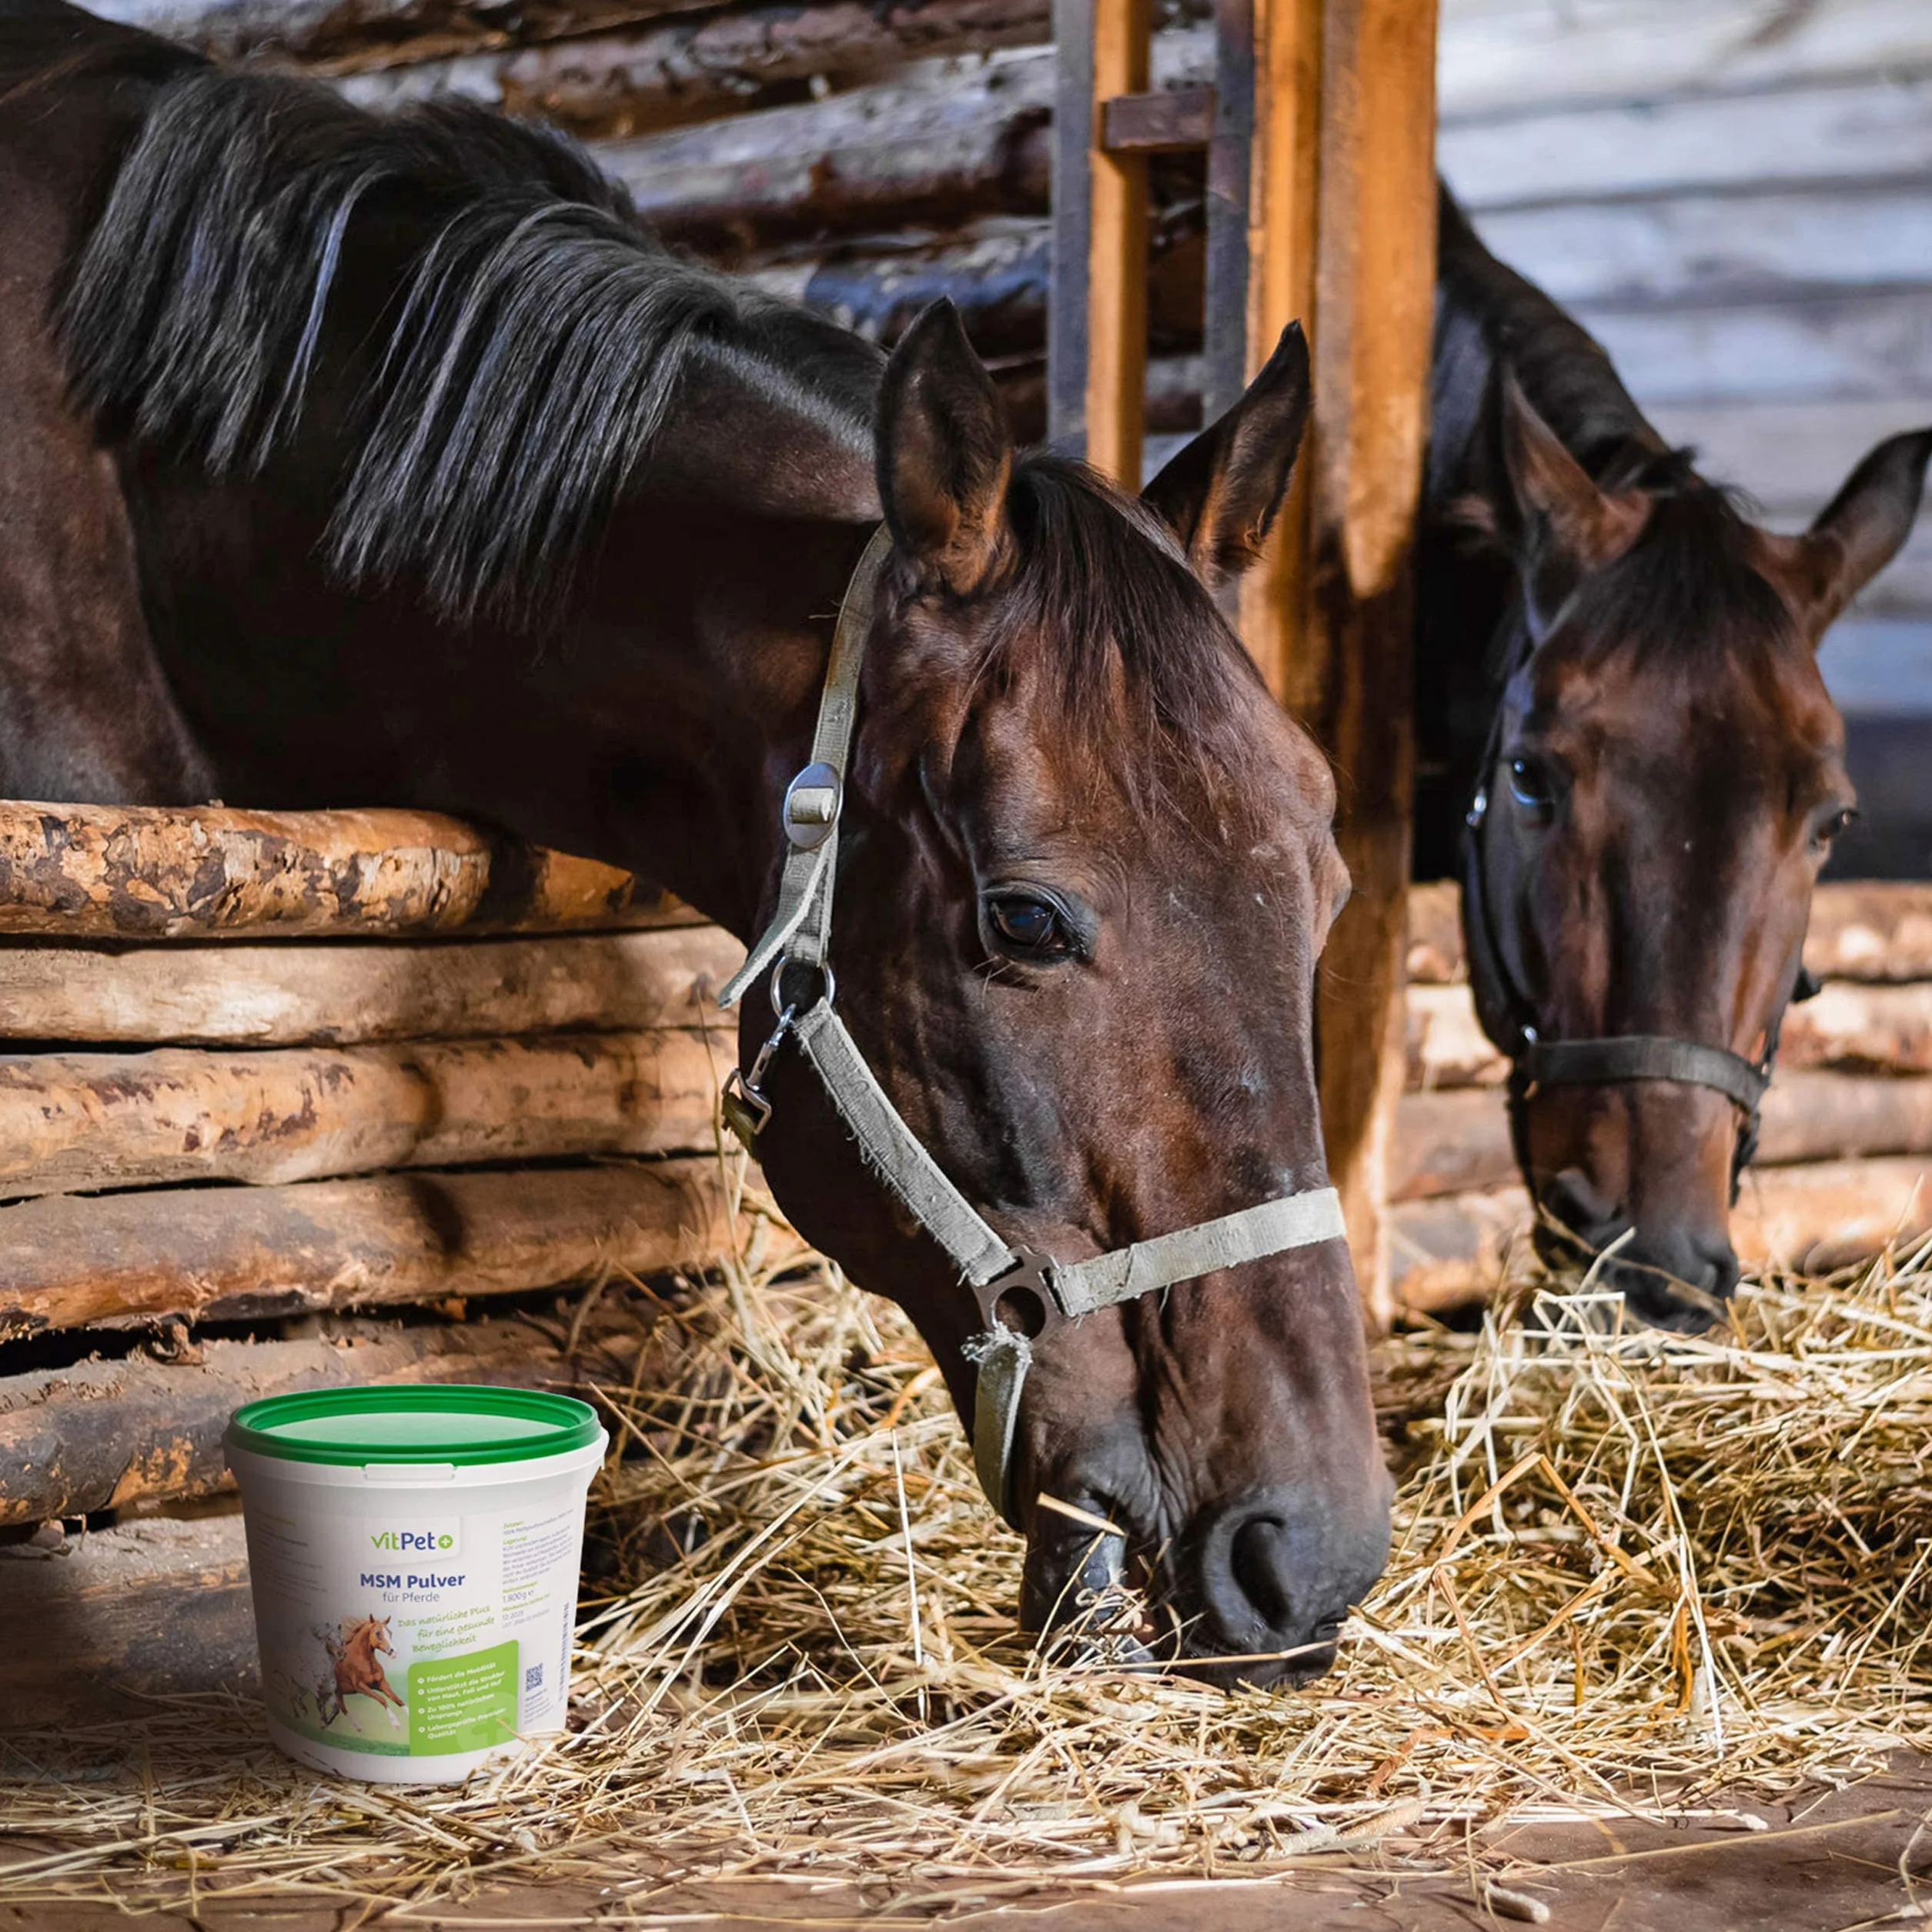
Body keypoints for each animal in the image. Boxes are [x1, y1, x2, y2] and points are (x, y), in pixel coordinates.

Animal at [317, 1615, 405, 1731]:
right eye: (377, 1633)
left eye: (390, 1632)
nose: (393, 1652)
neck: (364, 1663)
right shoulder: (361, 1687)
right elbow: (382, 1699)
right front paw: (396, 1723)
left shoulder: (381, 1683)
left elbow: (398, 1700)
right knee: (323, 1704)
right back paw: (324, 1723)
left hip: (338, 1692)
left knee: (341, 1707)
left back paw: (356, 1727)